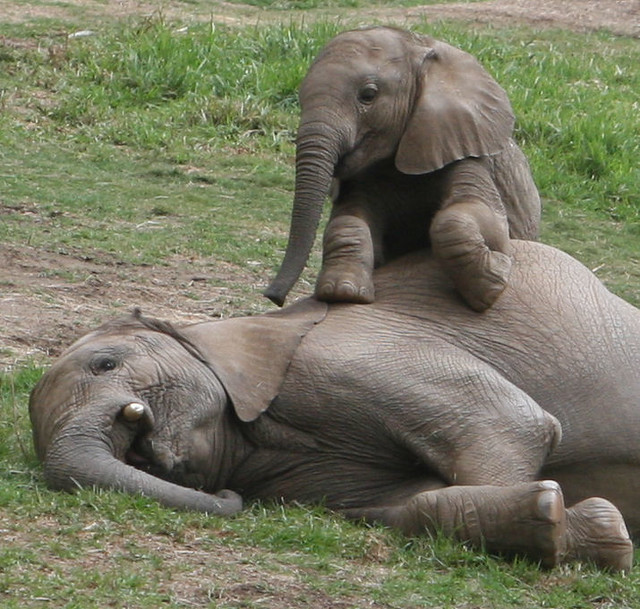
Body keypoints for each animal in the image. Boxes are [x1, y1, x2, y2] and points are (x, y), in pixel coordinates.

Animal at [30, 241, 640, 568]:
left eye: (105, 364)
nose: (228, 497)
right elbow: (409, 503)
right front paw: (586, 529)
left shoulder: (346, 355)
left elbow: (513, 426)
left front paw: (562, 521)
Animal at [264, 25, 540, 312]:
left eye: (368, 95)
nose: (274, 297)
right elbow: (348, 220)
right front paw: (343, 292)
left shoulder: (463, 147)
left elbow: (477, 215)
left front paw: (491, 286)